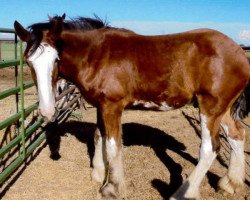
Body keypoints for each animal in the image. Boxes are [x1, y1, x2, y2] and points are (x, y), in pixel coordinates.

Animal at [14, 13, 250, 198]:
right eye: (28, 61)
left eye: (56, 59)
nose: (46, 111)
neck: (97, 56)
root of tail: (239, 52)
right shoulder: (101, 106)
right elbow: (98, 136)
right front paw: (98, 173)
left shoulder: (112, 107)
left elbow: (113, 144)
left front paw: (112, 187)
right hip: (222, 110)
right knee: (237, 135)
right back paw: (230, 184)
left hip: (210, 108)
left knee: (210, 148)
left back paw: (185, 193)